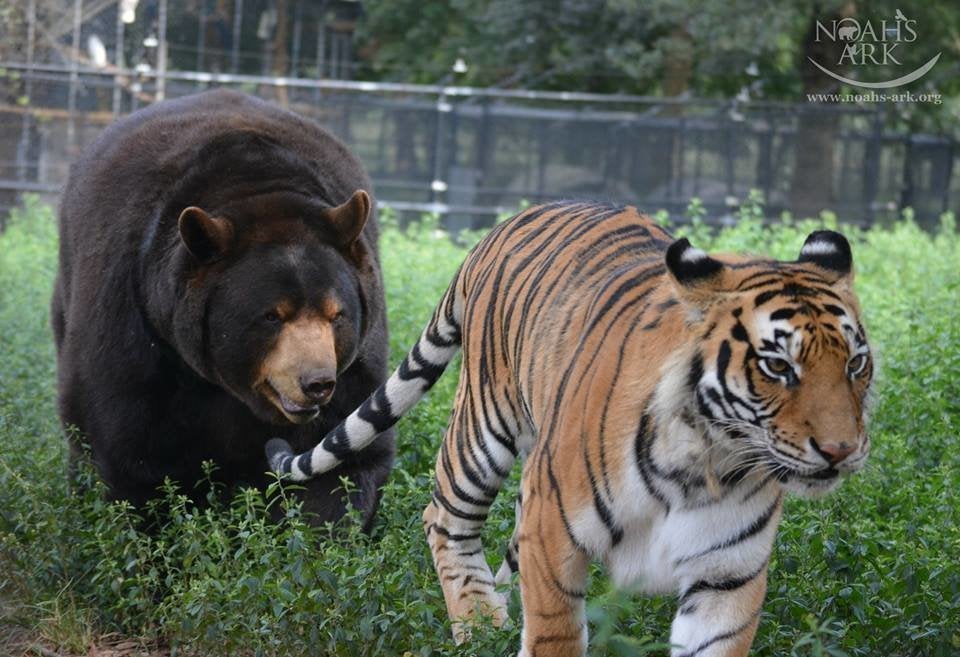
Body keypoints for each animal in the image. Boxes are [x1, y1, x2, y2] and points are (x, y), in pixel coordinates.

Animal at [50, 88, 396, 528]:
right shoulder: (133, 315)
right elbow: (125, 446)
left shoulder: (355, 361)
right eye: (271, 315)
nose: (316, 382)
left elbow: (342, 459)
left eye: (337, 315)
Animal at [262, 201, 872, 656]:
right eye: (777, 367)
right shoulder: (553, 535)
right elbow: (555, 632)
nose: (841, 450)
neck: (706, 462)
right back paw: (480, 627)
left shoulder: (727, 575)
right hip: (483, 428)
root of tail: (506, 223)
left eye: (856, 364)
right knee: (443, 519)